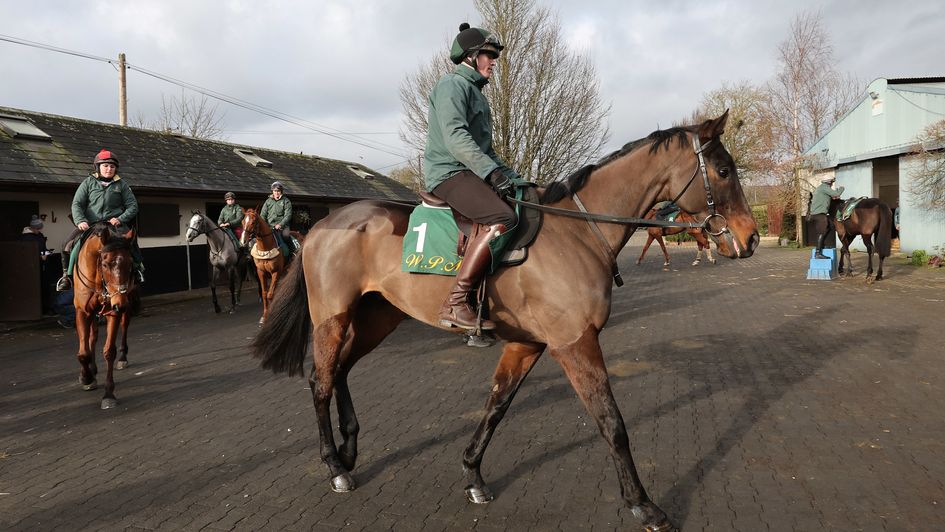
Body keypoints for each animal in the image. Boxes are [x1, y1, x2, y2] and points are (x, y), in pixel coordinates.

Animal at [71, 222, 139, 410]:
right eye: (106, 264)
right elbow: (83, 352)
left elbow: (109, 351)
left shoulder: (112, 312)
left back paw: (123, 358)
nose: (120, 303)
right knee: (92, 337)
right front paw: (86, 378)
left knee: (124, 326)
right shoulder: (82, 312)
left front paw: (108, 394)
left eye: (130, 263)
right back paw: (91, 370)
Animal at [247, 112, 756, 532]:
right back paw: (335, 468)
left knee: (340, 371)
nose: (749, 238)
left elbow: (497, 405)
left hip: (377, 318)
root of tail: (322, 225)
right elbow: (611, 422)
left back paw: (349, 453)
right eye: (724, 171)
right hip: (332, 318)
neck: (576, 231)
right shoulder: (576, 343)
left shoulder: (527, 344)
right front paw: (643, 505)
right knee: (320, 380)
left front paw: (473, 473)